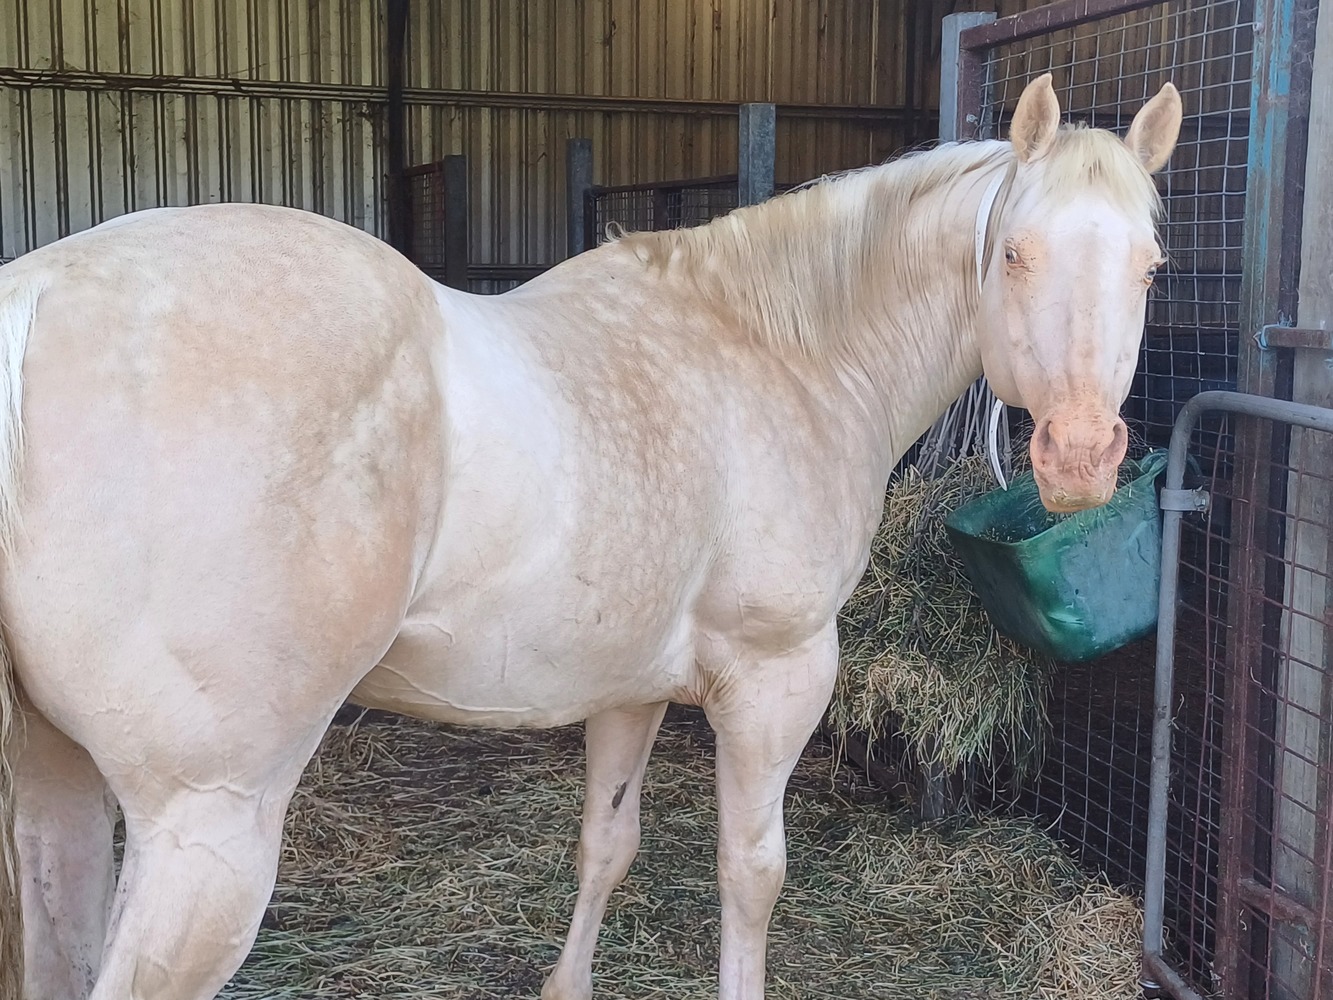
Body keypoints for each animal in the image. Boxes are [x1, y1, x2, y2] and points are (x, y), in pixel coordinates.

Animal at [0, 73, 1180, 1000]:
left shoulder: (628, 688)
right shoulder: (776, 680)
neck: (786, 357)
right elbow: (750, 871)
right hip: (207, 832)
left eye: (1152, 266)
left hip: (59, 788)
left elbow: (606, 844)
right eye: (1014, 252)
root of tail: (35, 302)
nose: (1080, 455)